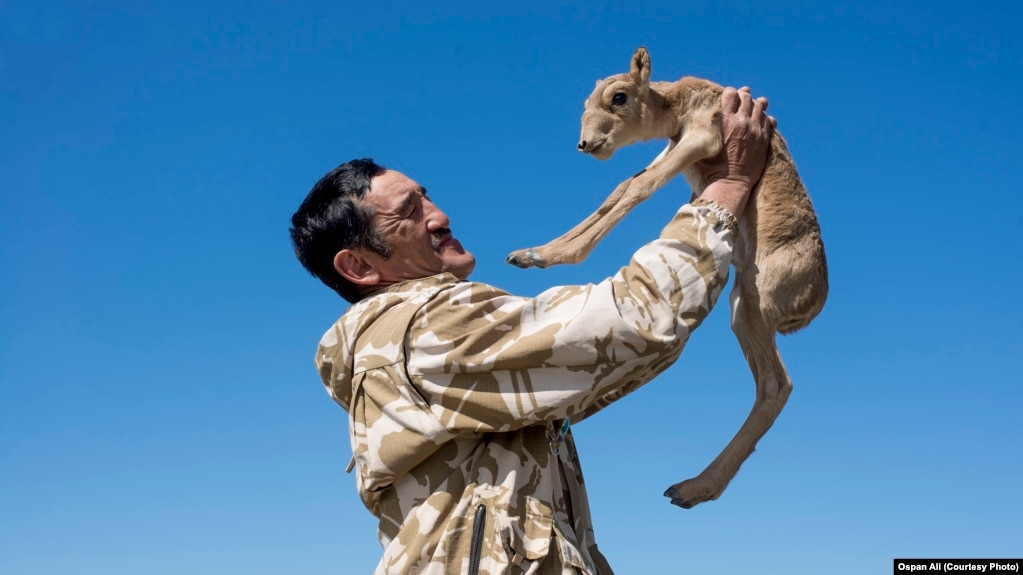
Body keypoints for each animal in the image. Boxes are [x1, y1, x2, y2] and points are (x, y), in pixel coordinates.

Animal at [507, 48, 826, 505]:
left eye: (618, 97)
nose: (585, 144)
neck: (679, 101)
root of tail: (816, 299)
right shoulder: (674, 148)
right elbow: (620, 190)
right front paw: (534, 253)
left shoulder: (698, 140)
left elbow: (638, 188)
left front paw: (553, 254)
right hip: (740, 309)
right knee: (772, 386)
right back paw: (695, 488)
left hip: (749, 305)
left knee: (776, 386)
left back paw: (693, 487)